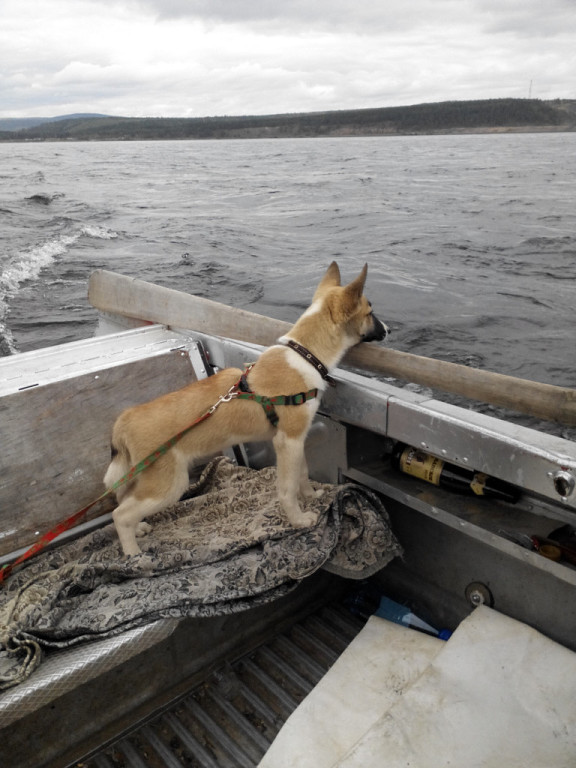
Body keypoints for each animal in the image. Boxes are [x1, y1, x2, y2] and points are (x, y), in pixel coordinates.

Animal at [106, 260, 390, 556]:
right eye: (371, 312)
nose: (389, 330)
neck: (305, 354)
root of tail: (124, 420)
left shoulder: (296, 441)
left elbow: (302, 473)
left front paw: (311, 497)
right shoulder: (287, 440)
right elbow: (287, 488)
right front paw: (298, 520)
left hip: (143, 477)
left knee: (125, 503)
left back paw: (139, 529)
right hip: (169, 483)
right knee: (120, 514)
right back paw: (134, 553)